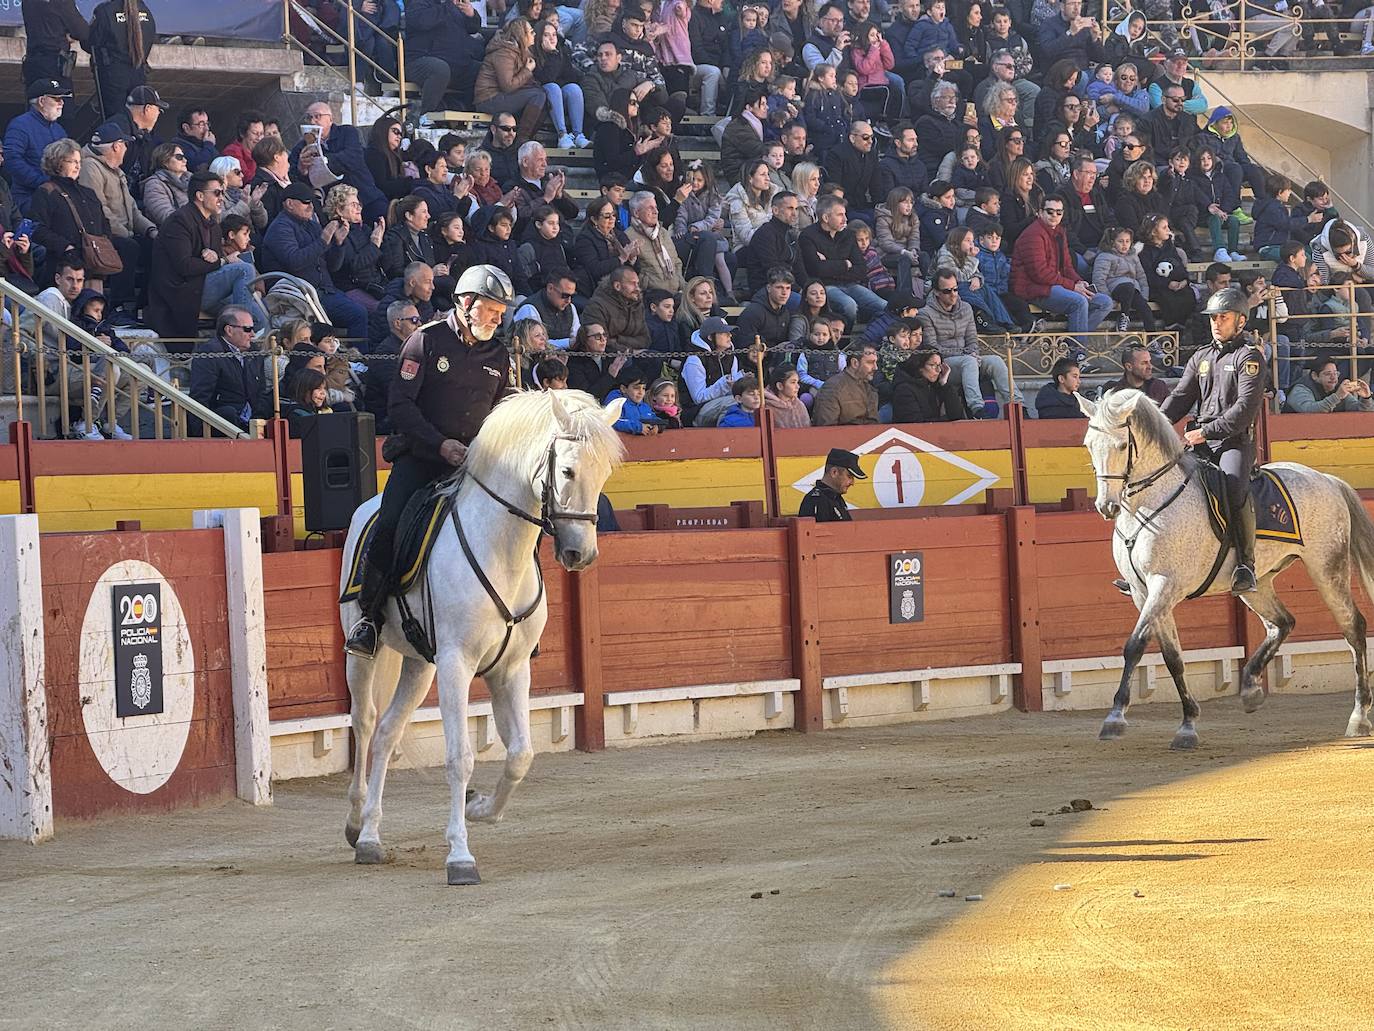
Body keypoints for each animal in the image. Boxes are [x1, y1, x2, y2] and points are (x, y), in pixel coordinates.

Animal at [340, 390, 626, 885]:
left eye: (605, 471)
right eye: (568, 471)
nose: (580, 554)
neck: (502, 548)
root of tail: (366, 508)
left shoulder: (510, 669)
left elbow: (520, 754)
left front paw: (479, 808)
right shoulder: (457, 664)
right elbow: (460, 758)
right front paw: (460, 856)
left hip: (419, 664)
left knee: (388, 732)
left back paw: (373, 837)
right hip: (363, 654)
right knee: (366, 722)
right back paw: (358, 825)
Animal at [1077, 387, 1374, 753]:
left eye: (1121, 445)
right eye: (1089, 444)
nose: (1107, 506)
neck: (1150, 504)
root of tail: (1327, 479)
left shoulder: (1165, 585)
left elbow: (1135, 644)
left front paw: (1115, 718)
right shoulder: (1141, 591)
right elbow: (1172, 655)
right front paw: (1188, 724)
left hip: (1327, 568)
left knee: (1353, 627)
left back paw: (1358, 717)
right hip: (1257, 585)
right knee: (1282, 622)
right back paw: (1250, 689)